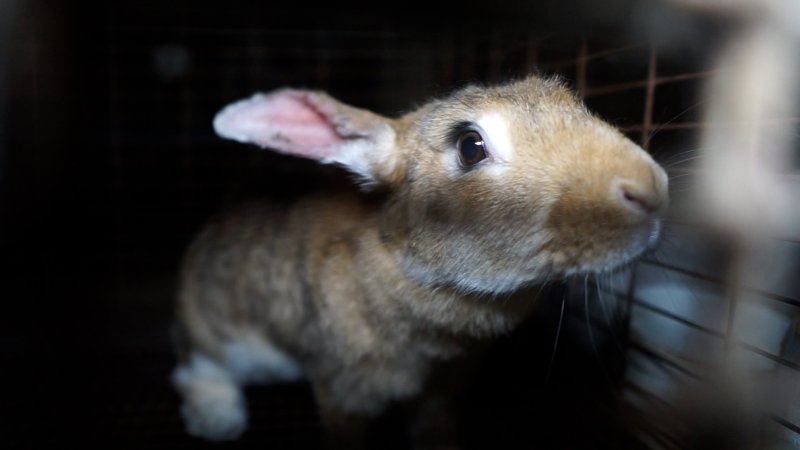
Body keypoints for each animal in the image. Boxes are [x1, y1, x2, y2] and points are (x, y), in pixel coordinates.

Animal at [173, 74, 668, 446]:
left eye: (568, 98)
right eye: (470, 146)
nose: (651, 190)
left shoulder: (441, 389)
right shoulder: (342, 389)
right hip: (223, 330)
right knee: (197, 364)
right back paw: (218, 420)